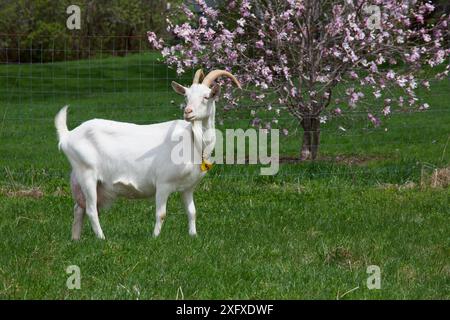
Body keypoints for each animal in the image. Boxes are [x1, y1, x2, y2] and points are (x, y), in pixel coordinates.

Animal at [55, 70, 243, 240]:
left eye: (206, 96)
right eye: (186, 97)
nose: (188, 112)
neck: (193, 141)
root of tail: (68, 135)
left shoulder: (188, 187)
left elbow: (192, 212)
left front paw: (193, 236)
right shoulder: (163, 183)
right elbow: (161, 214)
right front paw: (155, 238)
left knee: (79, 208)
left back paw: (76, 239)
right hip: (87, 174)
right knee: (91, 210)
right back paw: (102, 238)